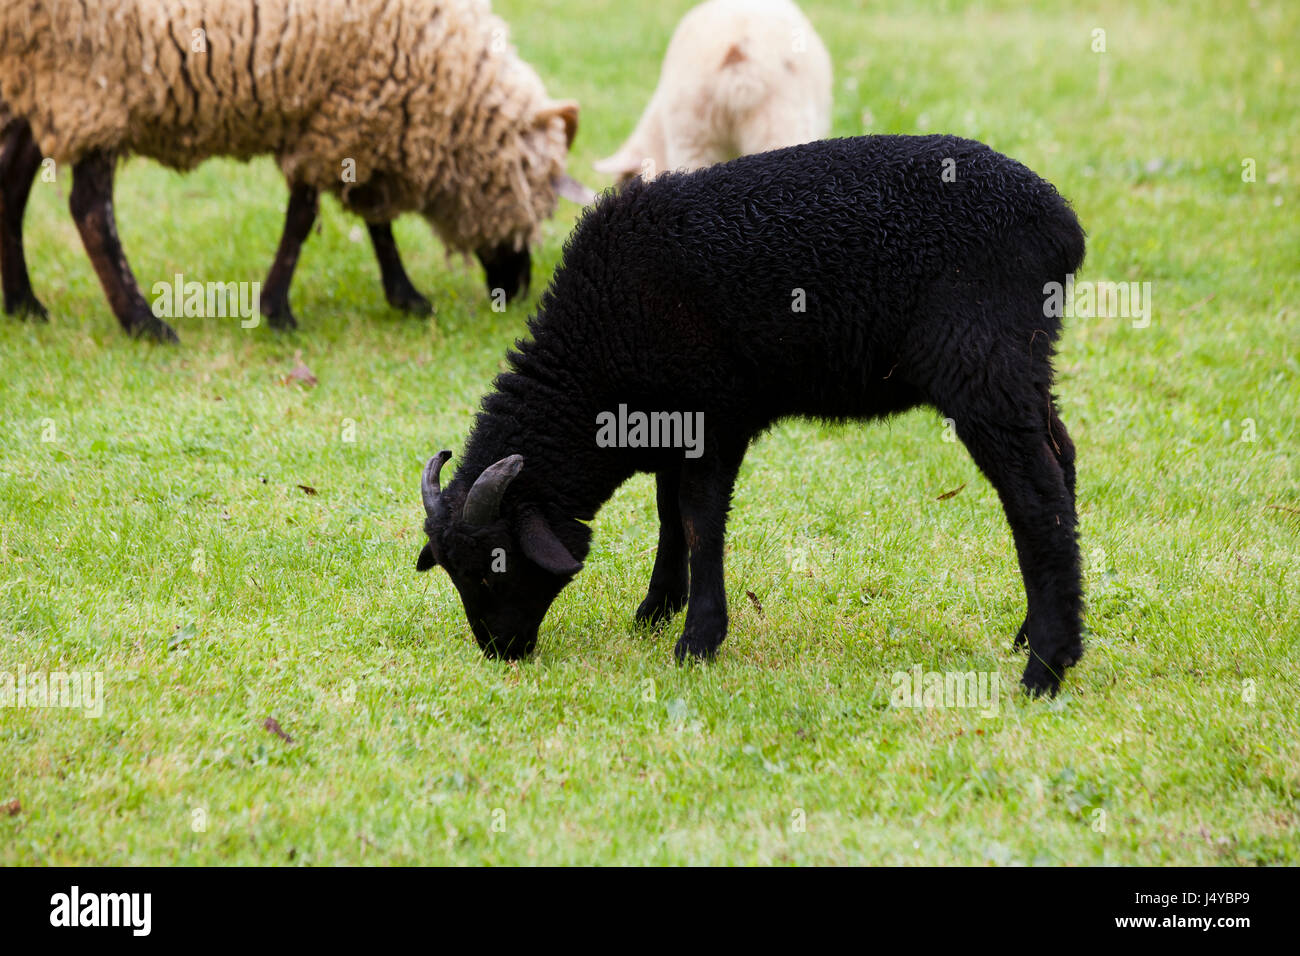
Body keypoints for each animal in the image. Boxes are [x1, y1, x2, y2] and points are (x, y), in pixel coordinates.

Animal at [0, 0, 590, 343]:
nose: (516, 289)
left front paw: (405, 294)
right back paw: (142, 321)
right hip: (90, 79)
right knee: (89, 209)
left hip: (39, 79)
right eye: (535, 206)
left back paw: (25, 304)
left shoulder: (353, 117)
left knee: (13, 180)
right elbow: (305, 217)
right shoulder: (336, 114)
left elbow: (373, 219)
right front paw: (278, 311)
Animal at [416, 134, 1086, 697]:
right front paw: (656, 611)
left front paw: (698, 640)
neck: (597, 350)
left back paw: (1047, 666)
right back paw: (1036, 633)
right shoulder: (672, 421)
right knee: (1064, 456)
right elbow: (668, 512)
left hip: (982, 364)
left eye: (492, 568)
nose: (501, 651)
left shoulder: (716, 419)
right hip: (1023, 363)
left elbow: (699, 520)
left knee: (1035, 496)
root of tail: (1062, 224)